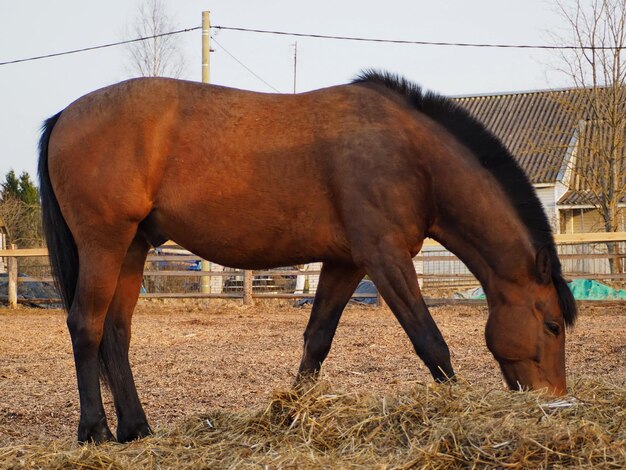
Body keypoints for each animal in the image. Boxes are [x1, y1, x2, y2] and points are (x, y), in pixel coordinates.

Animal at [39, 69, 576, 440]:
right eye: (552, 325)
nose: (554, 402)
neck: (409, 155)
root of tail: (64, 115)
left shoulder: (346, 263)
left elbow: (316, 340)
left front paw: (290, 414)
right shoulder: (386, 258)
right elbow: (430, 341)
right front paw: (457, 406)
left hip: (131, 249)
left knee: (116, 333)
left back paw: (137, 430)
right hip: (104, 243)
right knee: (86, 326)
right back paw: (96, 432)